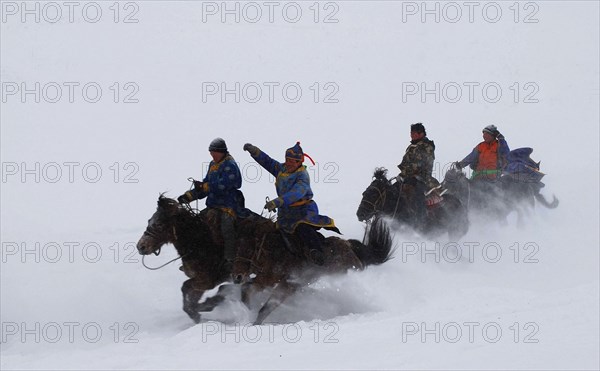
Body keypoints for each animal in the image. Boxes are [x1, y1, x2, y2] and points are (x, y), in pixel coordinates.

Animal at [137, 196, 233, 324]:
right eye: (149, 221)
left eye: (159, 224)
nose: (140, 247)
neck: (198, 243)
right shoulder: (200, 281)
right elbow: (187, 292)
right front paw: (198, 312)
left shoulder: (206, 281)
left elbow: (186, 288)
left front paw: (203, 308)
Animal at [197, 215, 394, 326]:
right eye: (236, 246)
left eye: (250, 248)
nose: (237, 276)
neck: (274, 251)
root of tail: (350, 247)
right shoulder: (265, 280)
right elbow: (247, 291)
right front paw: (245, 310)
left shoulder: (284, 284)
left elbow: (266, 307)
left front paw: (253, 321)